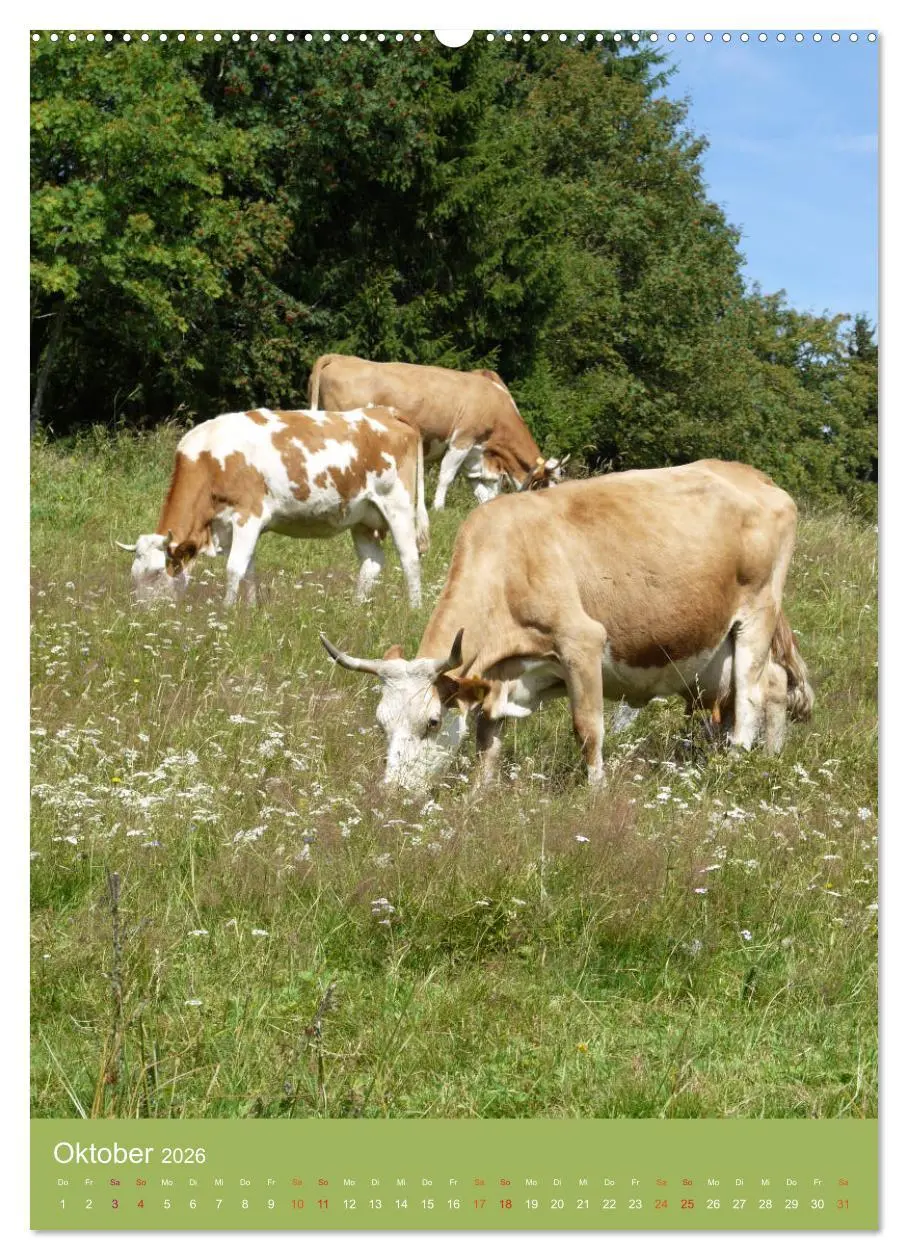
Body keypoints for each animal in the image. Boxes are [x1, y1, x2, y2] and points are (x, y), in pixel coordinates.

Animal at [116, 406, 430, 608]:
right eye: (134, 575)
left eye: (156, 573)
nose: (144, 614)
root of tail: (385, 412)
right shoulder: (232, 525)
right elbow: (248, 570)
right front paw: (250, 612)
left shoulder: (248, 516)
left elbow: (234, 569)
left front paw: (225, 614)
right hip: (362, 516)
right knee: (372, 564)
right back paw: (354, 611)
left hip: (398, 505)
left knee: (410, 559)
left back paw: (414, 610)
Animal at [308, 354, 568, 508]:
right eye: (546, 485)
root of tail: (340, 357)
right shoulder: (462, 440)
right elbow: (446, 475)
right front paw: (438, 507)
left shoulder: (475, 452)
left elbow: (481, 488)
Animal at [320, 459, 814, 794]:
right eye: (382, 723)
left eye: (432, 721)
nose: (392, 793)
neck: (508, 561)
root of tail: (756, 477)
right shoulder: (500, 677)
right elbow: (487, 739)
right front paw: (480, 795)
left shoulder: (583, 644)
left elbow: (588, 728)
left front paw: (595, 792)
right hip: (714, 651)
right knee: (771, 684)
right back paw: (768, 760)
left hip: (756, 617)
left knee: (750, 698)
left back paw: (732, 767)